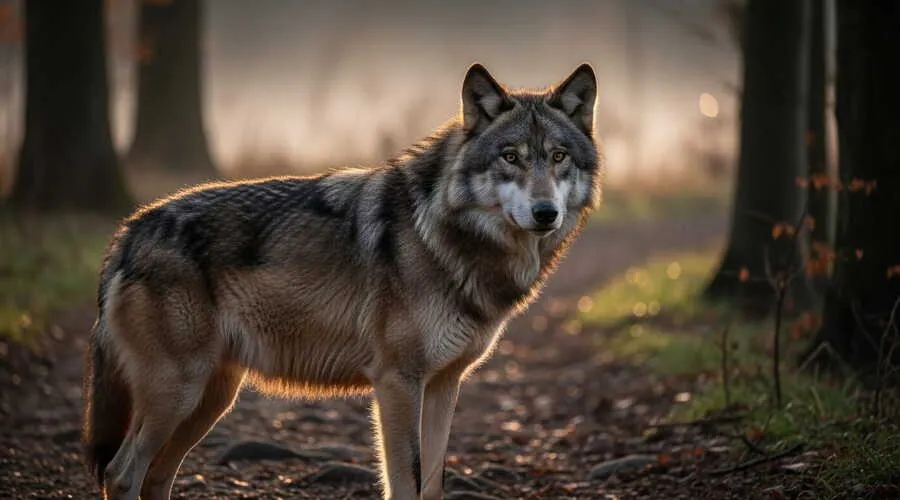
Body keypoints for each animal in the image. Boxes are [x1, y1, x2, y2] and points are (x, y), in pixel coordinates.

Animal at [82, 62, 603, 500]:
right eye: (510, 157)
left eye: (559, 156)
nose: (545, 213)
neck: (444, 233)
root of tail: (130, 230)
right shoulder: (397, 383)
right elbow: (407, 482)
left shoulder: (443, 385)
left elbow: (433, 483)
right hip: (179, 394)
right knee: (121, 474)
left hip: (210, 400)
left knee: (155, 477)